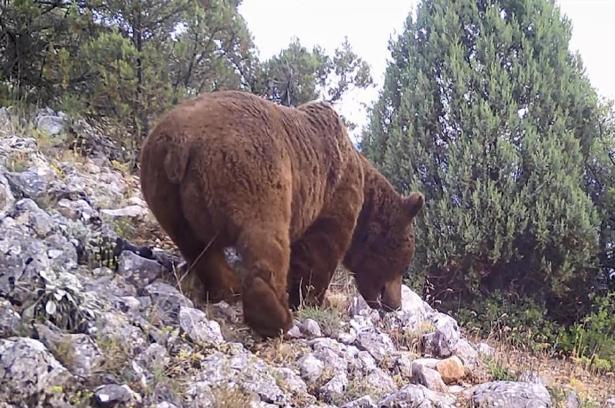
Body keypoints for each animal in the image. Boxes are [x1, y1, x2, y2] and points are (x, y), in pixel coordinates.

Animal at [139, 91, 424, 336]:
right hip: (252, 170)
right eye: (402, 263)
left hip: (162, 188)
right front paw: (313, 300)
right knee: (265, 237)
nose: (395, 305)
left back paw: (228, 287)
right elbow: (319, 251)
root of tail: (181, 142)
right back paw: (274, 317)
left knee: (197, 246)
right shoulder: (334, 194)